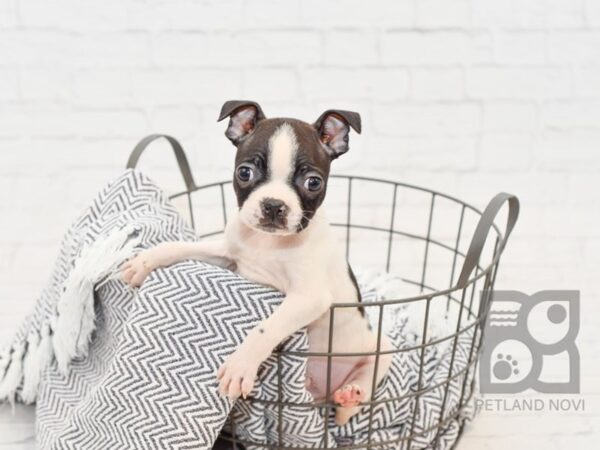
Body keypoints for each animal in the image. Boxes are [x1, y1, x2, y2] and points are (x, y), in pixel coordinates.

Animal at [121, 101, 394, 426]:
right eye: (245, 172)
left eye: (313, 182)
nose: (274, 205)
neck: (268, 243)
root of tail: (323, 393)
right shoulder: (228, 254)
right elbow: (183, 246)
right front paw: (145, 261)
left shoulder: (309, 297)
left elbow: (266, 327)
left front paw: (240, 365)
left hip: (381, 348)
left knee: (365, 382)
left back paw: (351, 394)